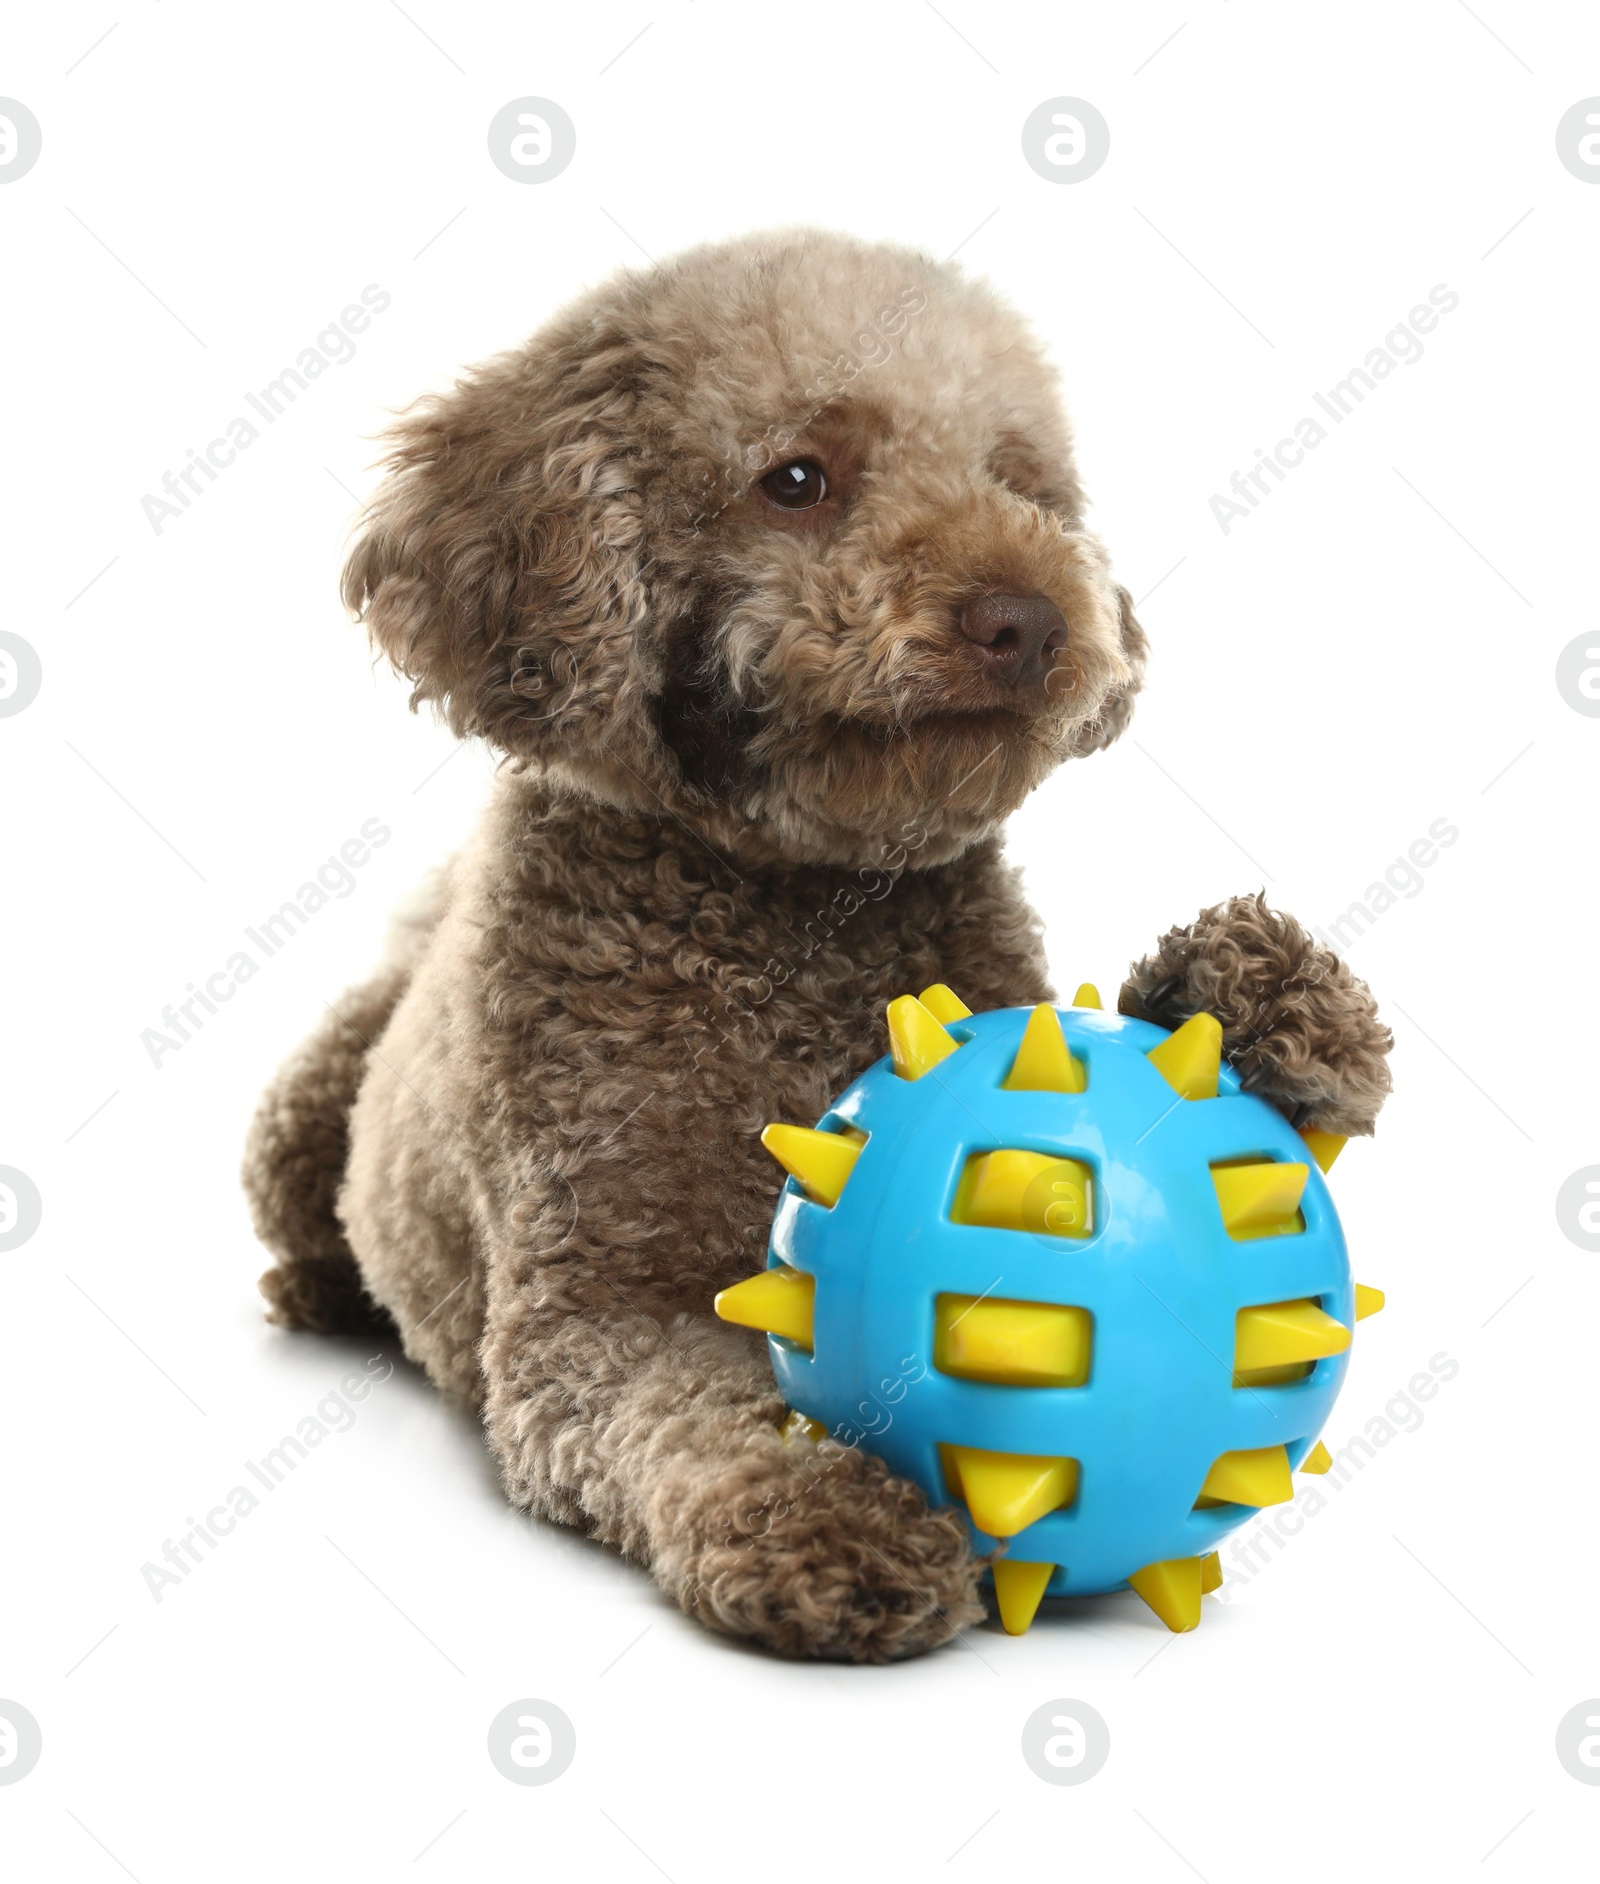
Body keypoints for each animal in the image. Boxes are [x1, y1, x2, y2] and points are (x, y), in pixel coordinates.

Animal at [243, 227, 1394, 1657]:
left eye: (1019, 483)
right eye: (796, 480)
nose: (1030, 619)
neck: (796, 909)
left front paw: (1259, 999)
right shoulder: (597, 1313)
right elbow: (695, 1413)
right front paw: (826, 1515)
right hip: (304, 1114)